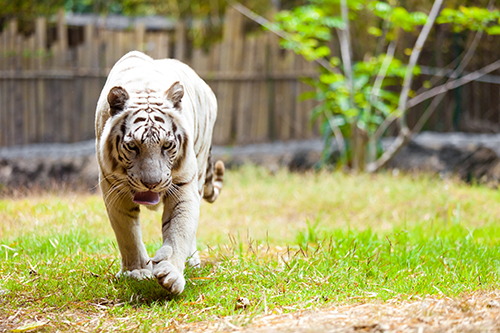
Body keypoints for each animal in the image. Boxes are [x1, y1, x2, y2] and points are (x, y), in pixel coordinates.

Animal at [94, 50, 224, 294]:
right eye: (132, 146)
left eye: (167, 145)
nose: (151, 184)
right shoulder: (112, 188)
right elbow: (128, 234)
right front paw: (136, 272)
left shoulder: (183, 185)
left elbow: (179, 230)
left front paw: (171, 273)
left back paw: (192, 260)